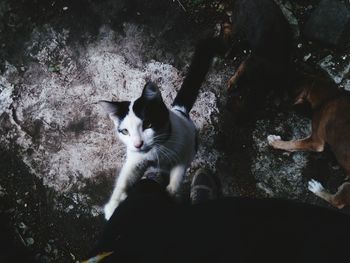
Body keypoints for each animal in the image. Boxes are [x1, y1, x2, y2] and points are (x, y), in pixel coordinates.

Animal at [100, 36, 224, 220]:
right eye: (125, 131)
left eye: (148, 125)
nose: (138, 144)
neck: (157, 150)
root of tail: (179, 111)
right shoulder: (135, 159)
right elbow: (125, 177)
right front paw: (112, 206)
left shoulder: (185, 153)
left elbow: (178, 174)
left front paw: (172, 194)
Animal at [268, 75, 350, 209]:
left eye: (284, 93)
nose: (273, 101)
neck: (330, 96)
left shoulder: (316, 142)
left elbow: (294, 143)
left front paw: (275, 142)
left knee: (338, 202)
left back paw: (317, 189)